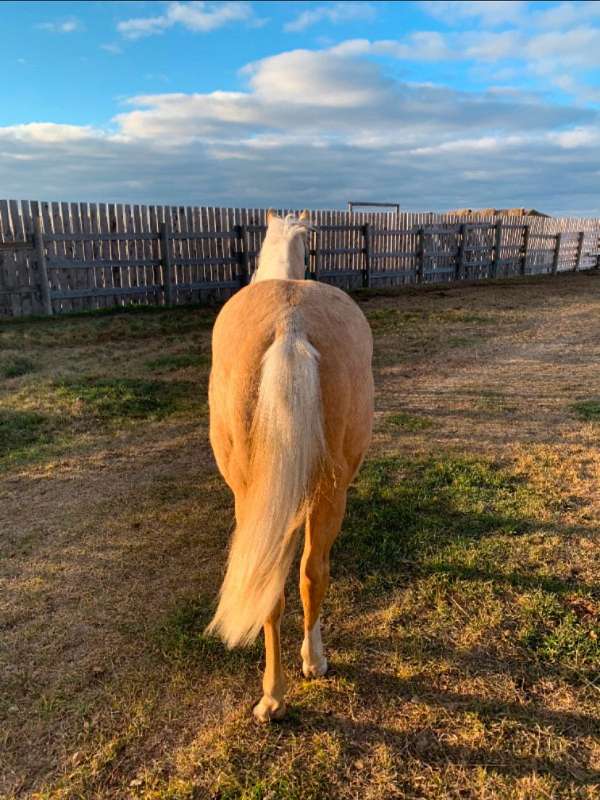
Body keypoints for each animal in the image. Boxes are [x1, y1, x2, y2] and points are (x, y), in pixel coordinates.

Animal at [209, 209, 372, 720]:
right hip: (328, 490)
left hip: (255, 492)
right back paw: (298, 675)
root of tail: (290, 324)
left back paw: (282, 689)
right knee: (307, 573)